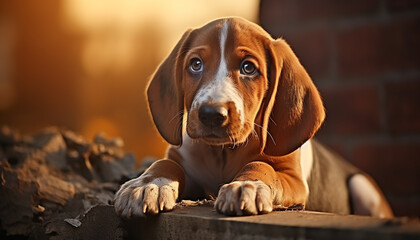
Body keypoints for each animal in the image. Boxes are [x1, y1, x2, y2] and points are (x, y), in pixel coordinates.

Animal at [113, 16, 392, 218]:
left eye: (248, 68)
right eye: (195, 64)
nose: (211, 114)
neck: (222, 153)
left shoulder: (294, 181)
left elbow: (262, 166)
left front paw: (247, 186)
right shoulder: (185, 165)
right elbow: (165, 164)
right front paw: (147, 185)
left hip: (363, 188)